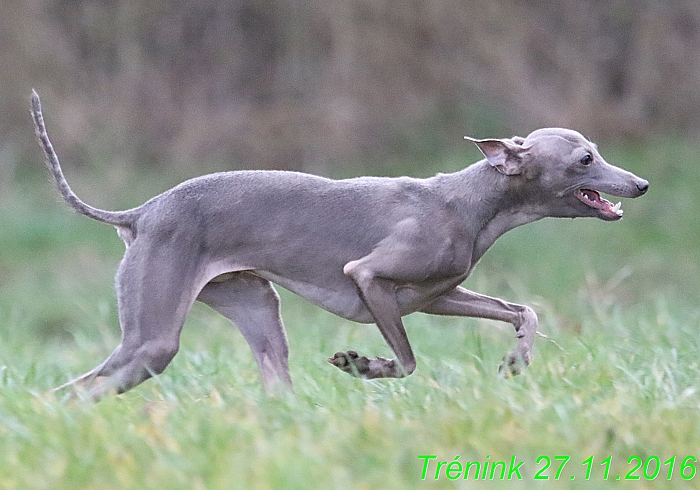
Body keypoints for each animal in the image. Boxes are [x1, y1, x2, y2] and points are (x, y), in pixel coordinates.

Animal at [30, 91, 648, 398]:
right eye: (585, 159)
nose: (640, 184)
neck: (470, 200)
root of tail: (140, 213)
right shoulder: (369, 278)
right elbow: (407, 361)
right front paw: (362, 364)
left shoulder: (436, 295)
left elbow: (523, 310)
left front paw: (518, 359)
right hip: (152, 341)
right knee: (77, 389)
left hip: (255, 308)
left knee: (272, 373)